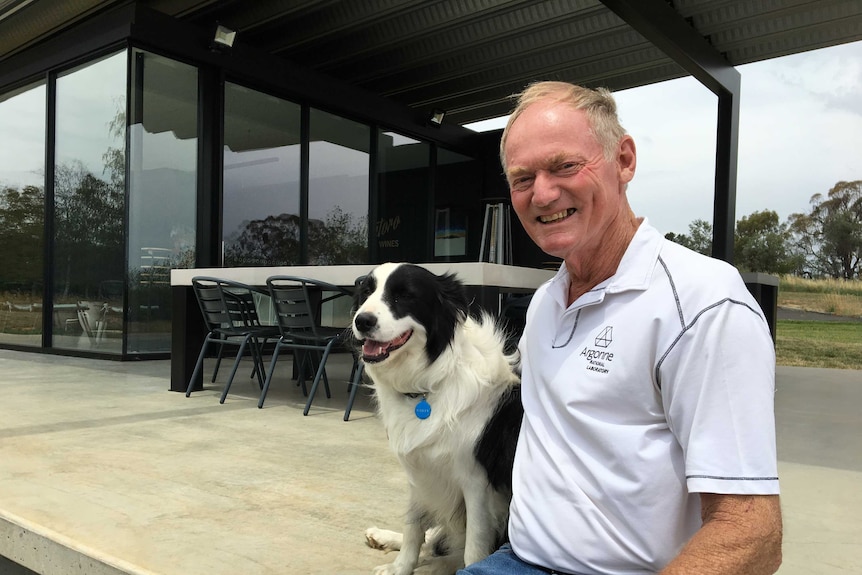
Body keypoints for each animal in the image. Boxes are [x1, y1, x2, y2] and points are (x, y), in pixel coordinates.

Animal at [352, 264, 528, 575]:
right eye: (366, 293)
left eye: (404, 296)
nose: (362, 321)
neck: (428, 383)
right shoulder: (419, 471)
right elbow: (413, 527)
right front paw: (399, 568)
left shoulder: (477, 484)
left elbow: (473, 550)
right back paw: (385, 538)